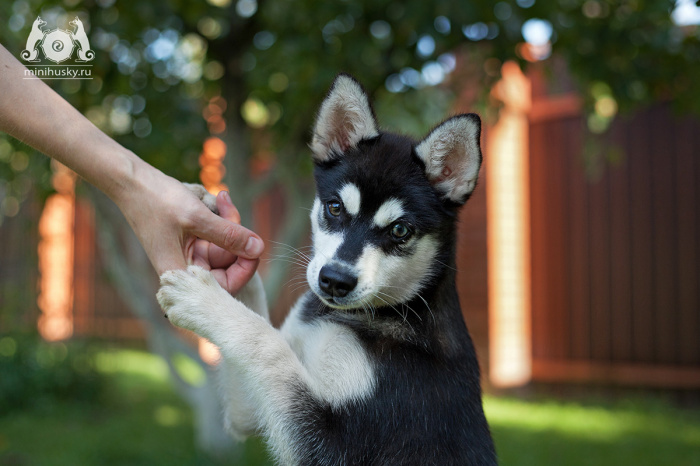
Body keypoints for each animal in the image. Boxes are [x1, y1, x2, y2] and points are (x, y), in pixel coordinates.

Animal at [159, 74, 498, 464]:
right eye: (335, 207)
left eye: (400, 230)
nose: (335, 281)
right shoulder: (254, 410)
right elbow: (258, 323)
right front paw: (215, 217)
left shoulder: (333, 444)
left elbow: (266, 342)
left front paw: (200, 298)